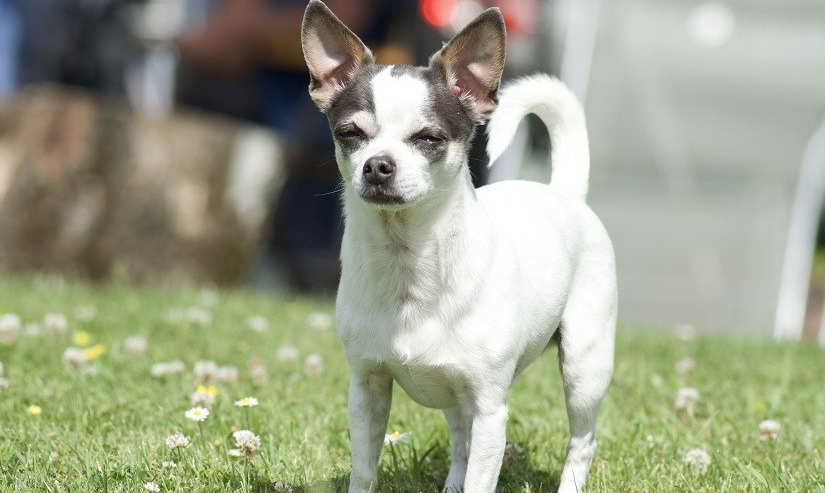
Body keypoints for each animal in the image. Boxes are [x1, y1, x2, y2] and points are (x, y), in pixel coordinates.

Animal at [300, 1, 616, 490]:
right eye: (350, 133)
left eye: (429, 138)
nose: (378, 165)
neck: (408, 261)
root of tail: (564, 192)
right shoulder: (367, 389)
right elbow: (365, 471)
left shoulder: (490, 409)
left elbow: (481, 478)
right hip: (454, 392)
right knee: (459, 437)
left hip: (585, 365)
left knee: (581, 440)